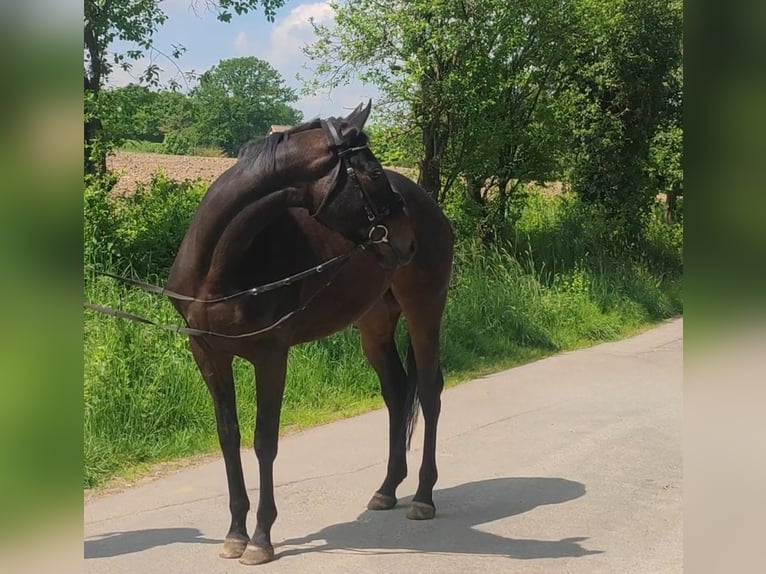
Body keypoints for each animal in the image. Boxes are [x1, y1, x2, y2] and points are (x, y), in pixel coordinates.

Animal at [166, 103, 456, 568]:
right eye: (373, 171)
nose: (406, 240)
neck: (219, 266)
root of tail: (429, 205)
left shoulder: (270, 354)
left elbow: (264, 441)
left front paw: (260, 539)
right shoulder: (208, 353)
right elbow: (229, 437)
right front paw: (234, 534)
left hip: (424, 310)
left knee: (429, 391)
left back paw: (423, 497)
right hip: (374, 323)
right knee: (396, 391)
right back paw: (387, 489)